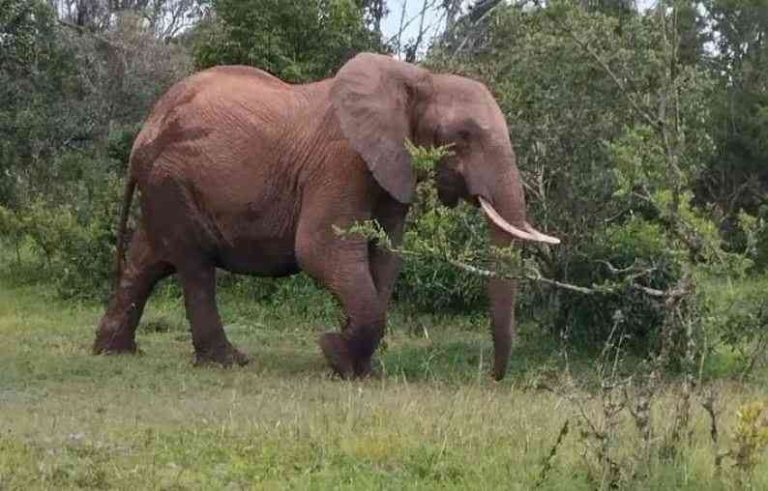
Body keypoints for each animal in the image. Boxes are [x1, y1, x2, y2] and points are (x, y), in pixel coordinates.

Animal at [93, 52, 559, 380]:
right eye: (462, 137)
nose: (493, 377)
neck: (418, 78)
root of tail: (144, 128)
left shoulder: (392, 169)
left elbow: (384, 257)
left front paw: (360, 368)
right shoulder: (342, 160)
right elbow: (320, 249)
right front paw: (334, 353)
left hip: (164, 186)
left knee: (148, 262)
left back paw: (113, 352)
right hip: (172, 180)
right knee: (194, 265)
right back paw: (229, 362)